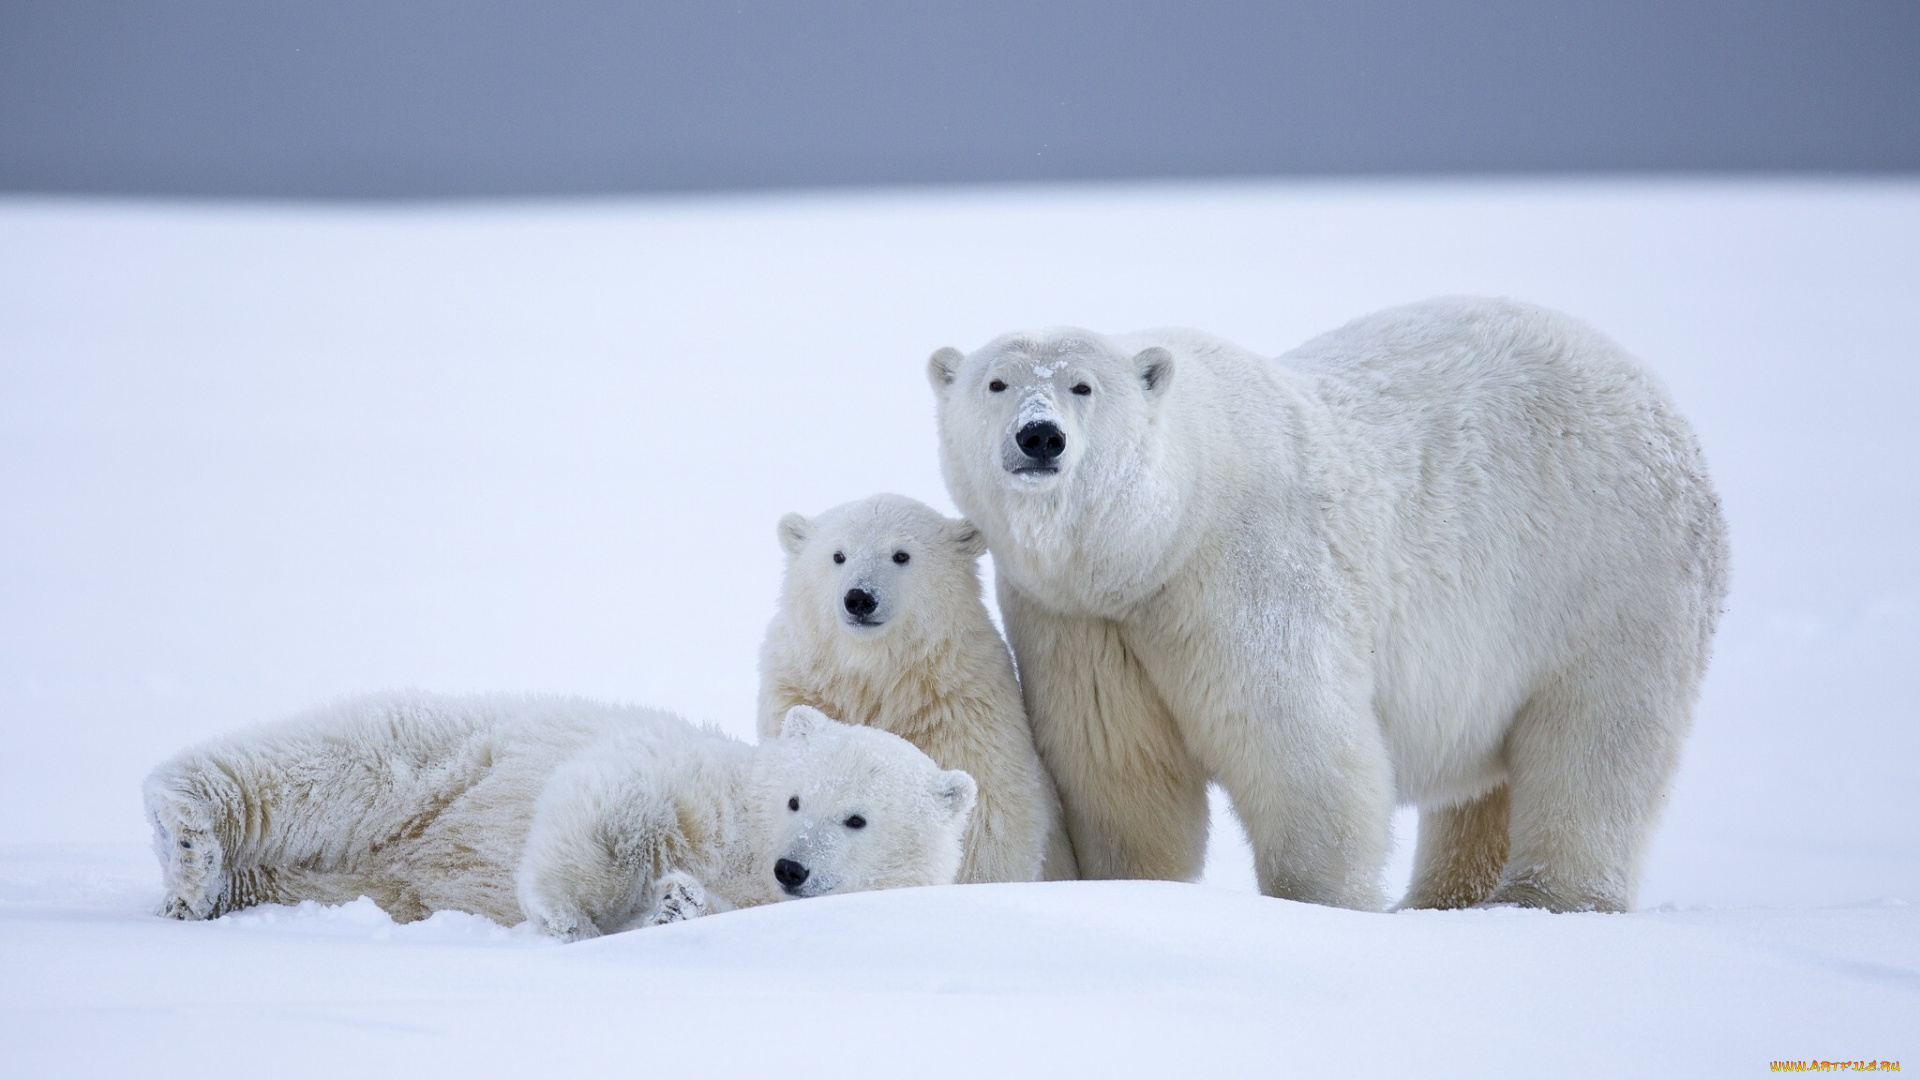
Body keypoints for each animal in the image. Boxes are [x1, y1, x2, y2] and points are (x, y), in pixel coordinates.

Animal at [142, 687, 975, 933]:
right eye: (798, 797)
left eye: (857, 819)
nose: (792, 867)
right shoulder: (694, 777)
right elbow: (612, 796)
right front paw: (565, 912)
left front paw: (675, 902)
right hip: (430, 759)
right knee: (317, 766)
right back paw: (186, 838)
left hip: (349, 876)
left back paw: (206, 886)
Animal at [752, 491, 1082, 880]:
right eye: (838, 555)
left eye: (901, 554)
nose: (860, 598)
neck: (877, 677)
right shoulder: (800, 688)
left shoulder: (961, 713)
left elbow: (988, 824)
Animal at [925, 294, 1728, 907]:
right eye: (997, 384)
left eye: (1083, 387)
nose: (1040, 437)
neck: (1160, 537)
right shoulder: (1080, 620)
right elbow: (1120, 771)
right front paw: (1133, 887)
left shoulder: (1246, 570)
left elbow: (1298, 745)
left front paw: (1320, 903)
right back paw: (1444, 898)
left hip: (1610, 573)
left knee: (1598, 742)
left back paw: (1547, 896)